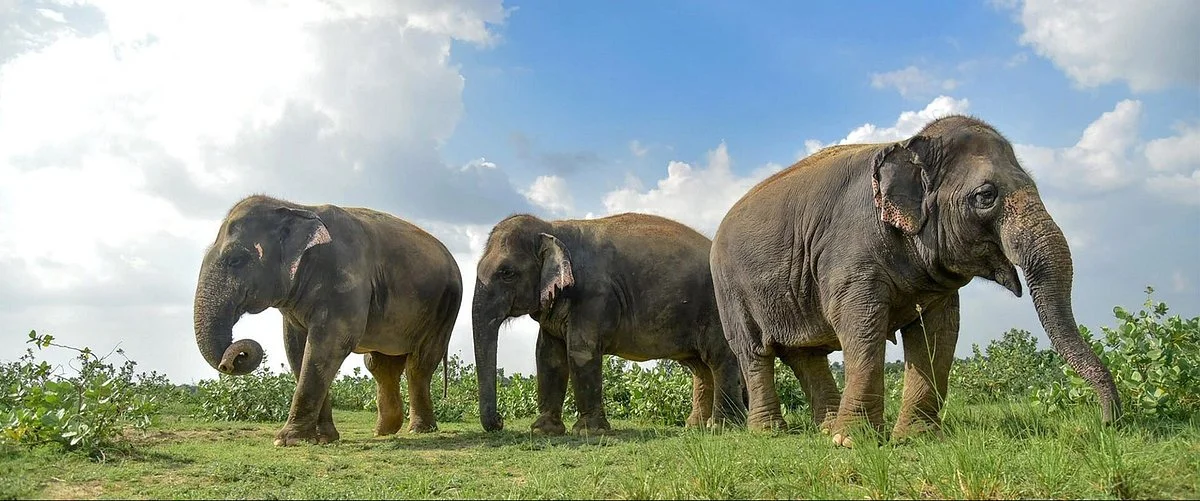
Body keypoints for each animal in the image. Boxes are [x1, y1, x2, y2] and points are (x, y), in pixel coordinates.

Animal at [193, 195, 463, 446]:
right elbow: (297, 348)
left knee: (418, 363)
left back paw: (419, 430)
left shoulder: (345, 278)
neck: (295, 207)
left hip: (444, 308)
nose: (230, 361)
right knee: (380, 365)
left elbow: (329, 344)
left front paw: (287, 440)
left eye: (235, 259)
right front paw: (324, 438)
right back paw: (383, 431)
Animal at [472, 213, 747, 435]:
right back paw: (696, 426)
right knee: (700, 367)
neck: (552, 228)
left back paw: (722, 427)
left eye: (507, 273)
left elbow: (581, 351)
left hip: (718, 307)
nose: (500, 421)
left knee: (718, 357)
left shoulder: (594, 295)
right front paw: (543, 431)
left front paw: (589, 432)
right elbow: (548, 356)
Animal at [710, 115, 1121, 447]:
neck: (908, 144)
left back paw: (824, 428)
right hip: (730, 291)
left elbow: (938, 334)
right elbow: (861, 325)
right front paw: (853, 443)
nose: (1108, 424)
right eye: (986, 196)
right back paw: (770, 432)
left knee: (805, 354)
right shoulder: (848, 255)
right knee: (754, 353)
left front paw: (916, 439)